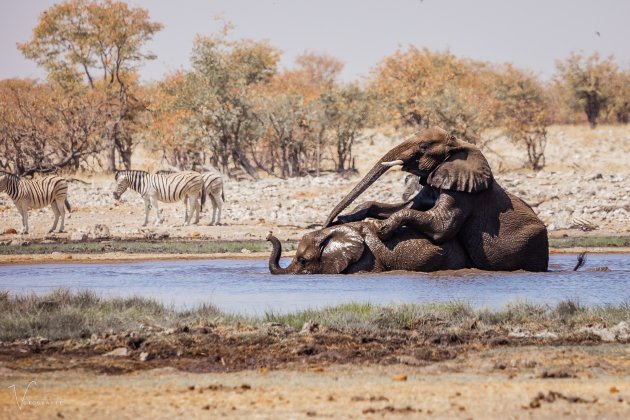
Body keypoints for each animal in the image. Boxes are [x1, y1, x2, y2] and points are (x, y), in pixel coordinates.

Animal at [326, 126, 548, 272]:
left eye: (423, 146)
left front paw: (382, 229)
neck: (459, 144)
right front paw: (349, 217)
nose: (328, 222)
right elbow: (408, 205)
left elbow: (441, 227)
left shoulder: (462, 194)